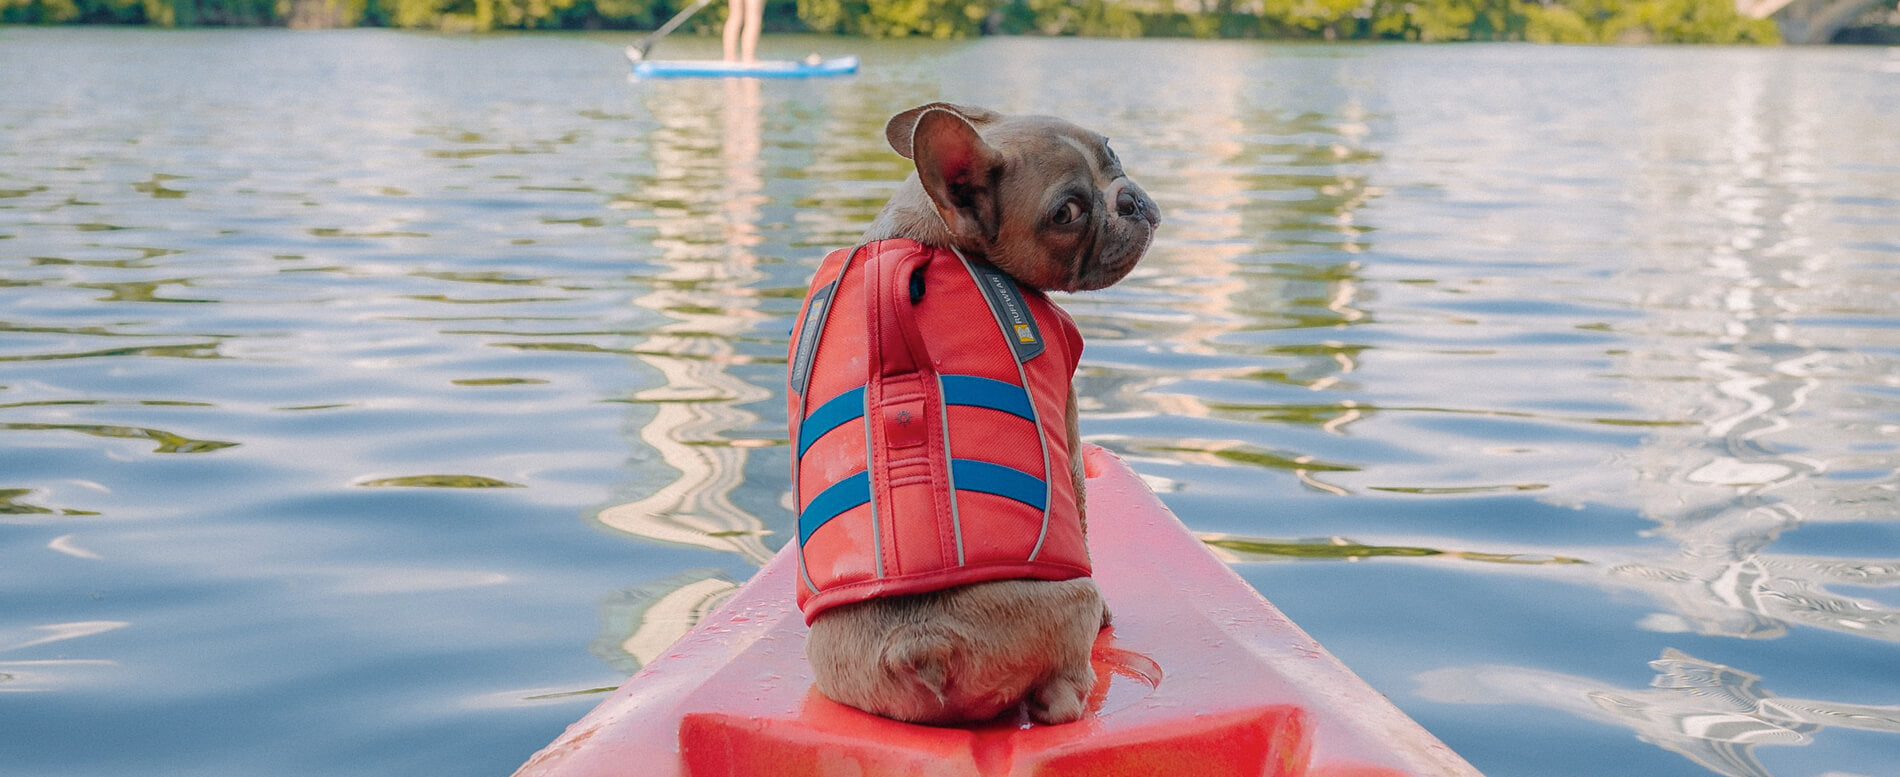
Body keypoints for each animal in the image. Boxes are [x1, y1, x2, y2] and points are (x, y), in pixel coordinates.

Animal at [786, 99, 1155, 721]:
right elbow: (1082, 508)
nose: (1127, 197)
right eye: (1067, 213)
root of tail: (922, 643)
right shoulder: (1068, 422)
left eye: (1113, 153)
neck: (929, 233)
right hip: (1070, 601)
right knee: (1060, 695)